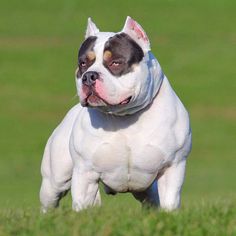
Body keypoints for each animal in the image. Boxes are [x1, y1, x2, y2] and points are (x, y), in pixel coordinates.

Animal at [39, 16, 192, 212]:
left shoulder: (173, 166)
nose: (89, 76)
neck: (124, 117)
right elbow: (81, 202)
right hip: (55, 180)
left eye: (116, 63)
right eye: (83, 63)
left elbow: (170, 202)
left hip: (147, 190)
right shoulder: (85, 172)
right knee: (49, 201)